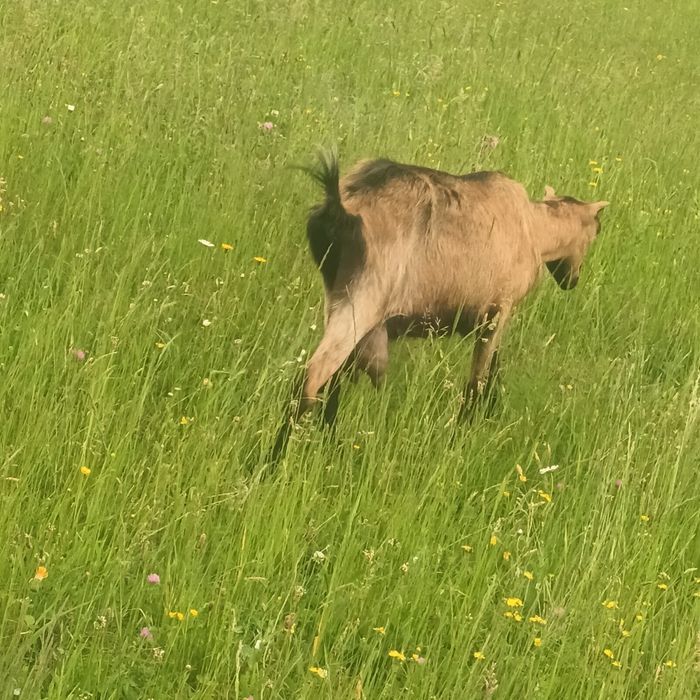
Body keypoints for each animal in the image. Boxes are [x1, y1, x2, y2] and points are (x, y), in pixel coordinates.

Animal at [271, 151, 608, 460]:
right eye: (598, 229)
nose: (571, 280)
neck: (535, 229)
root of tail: (340, 208)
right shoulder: (499, 310)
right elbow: (477, 382)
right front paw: (466, 431)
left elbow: (493, 370)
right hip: (362, 299)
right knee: (312, 378)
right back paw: (275, 461)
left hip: (338, 297)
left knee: (330, 381)